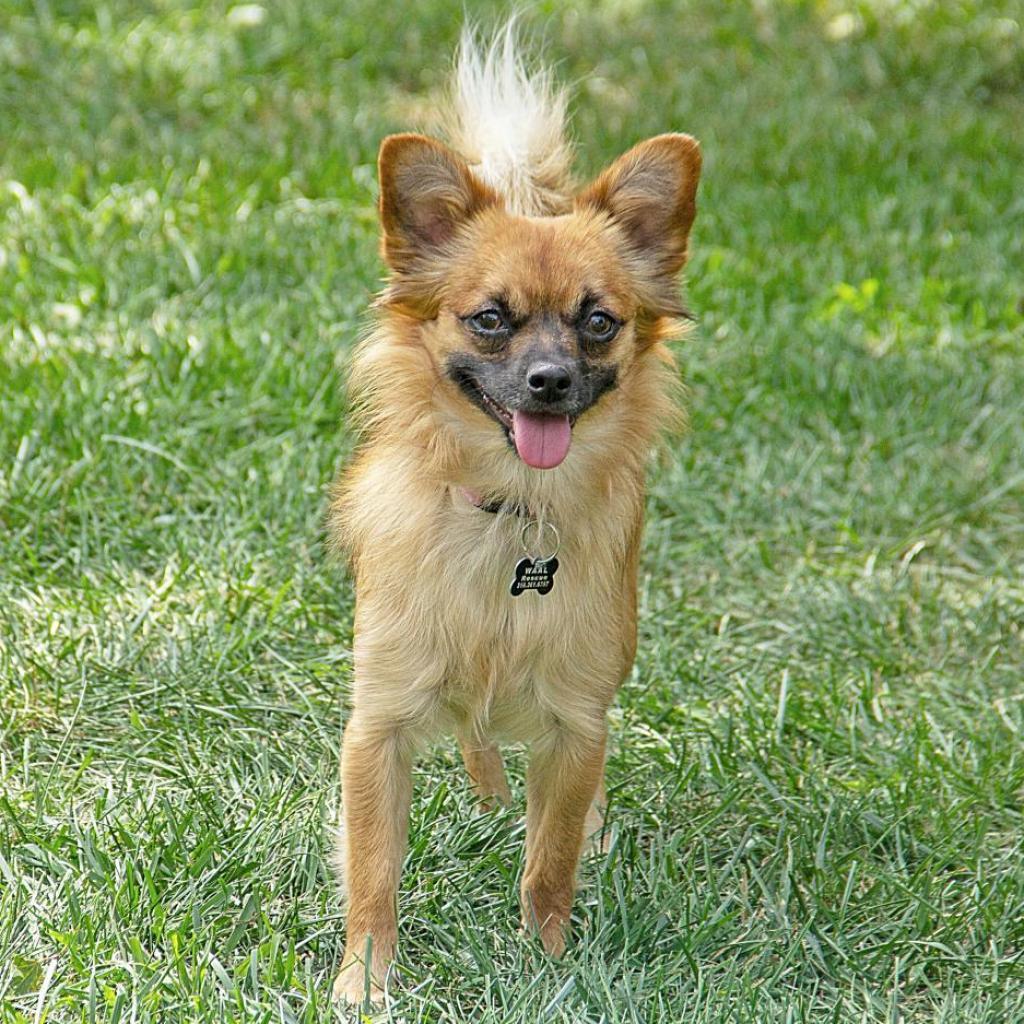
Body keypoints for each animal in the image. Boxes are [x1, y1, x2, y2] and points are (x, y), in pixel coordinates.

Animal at [331, 25, 700, 1007]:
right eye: (491, 320)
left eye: (599, 322)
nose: (549, 380)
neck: (511, 516)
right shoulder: (377, 726)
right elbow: (373, 870)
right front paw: (364, 983)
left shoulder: (575, 722)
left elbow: (549, 863)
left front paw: (549, 963)